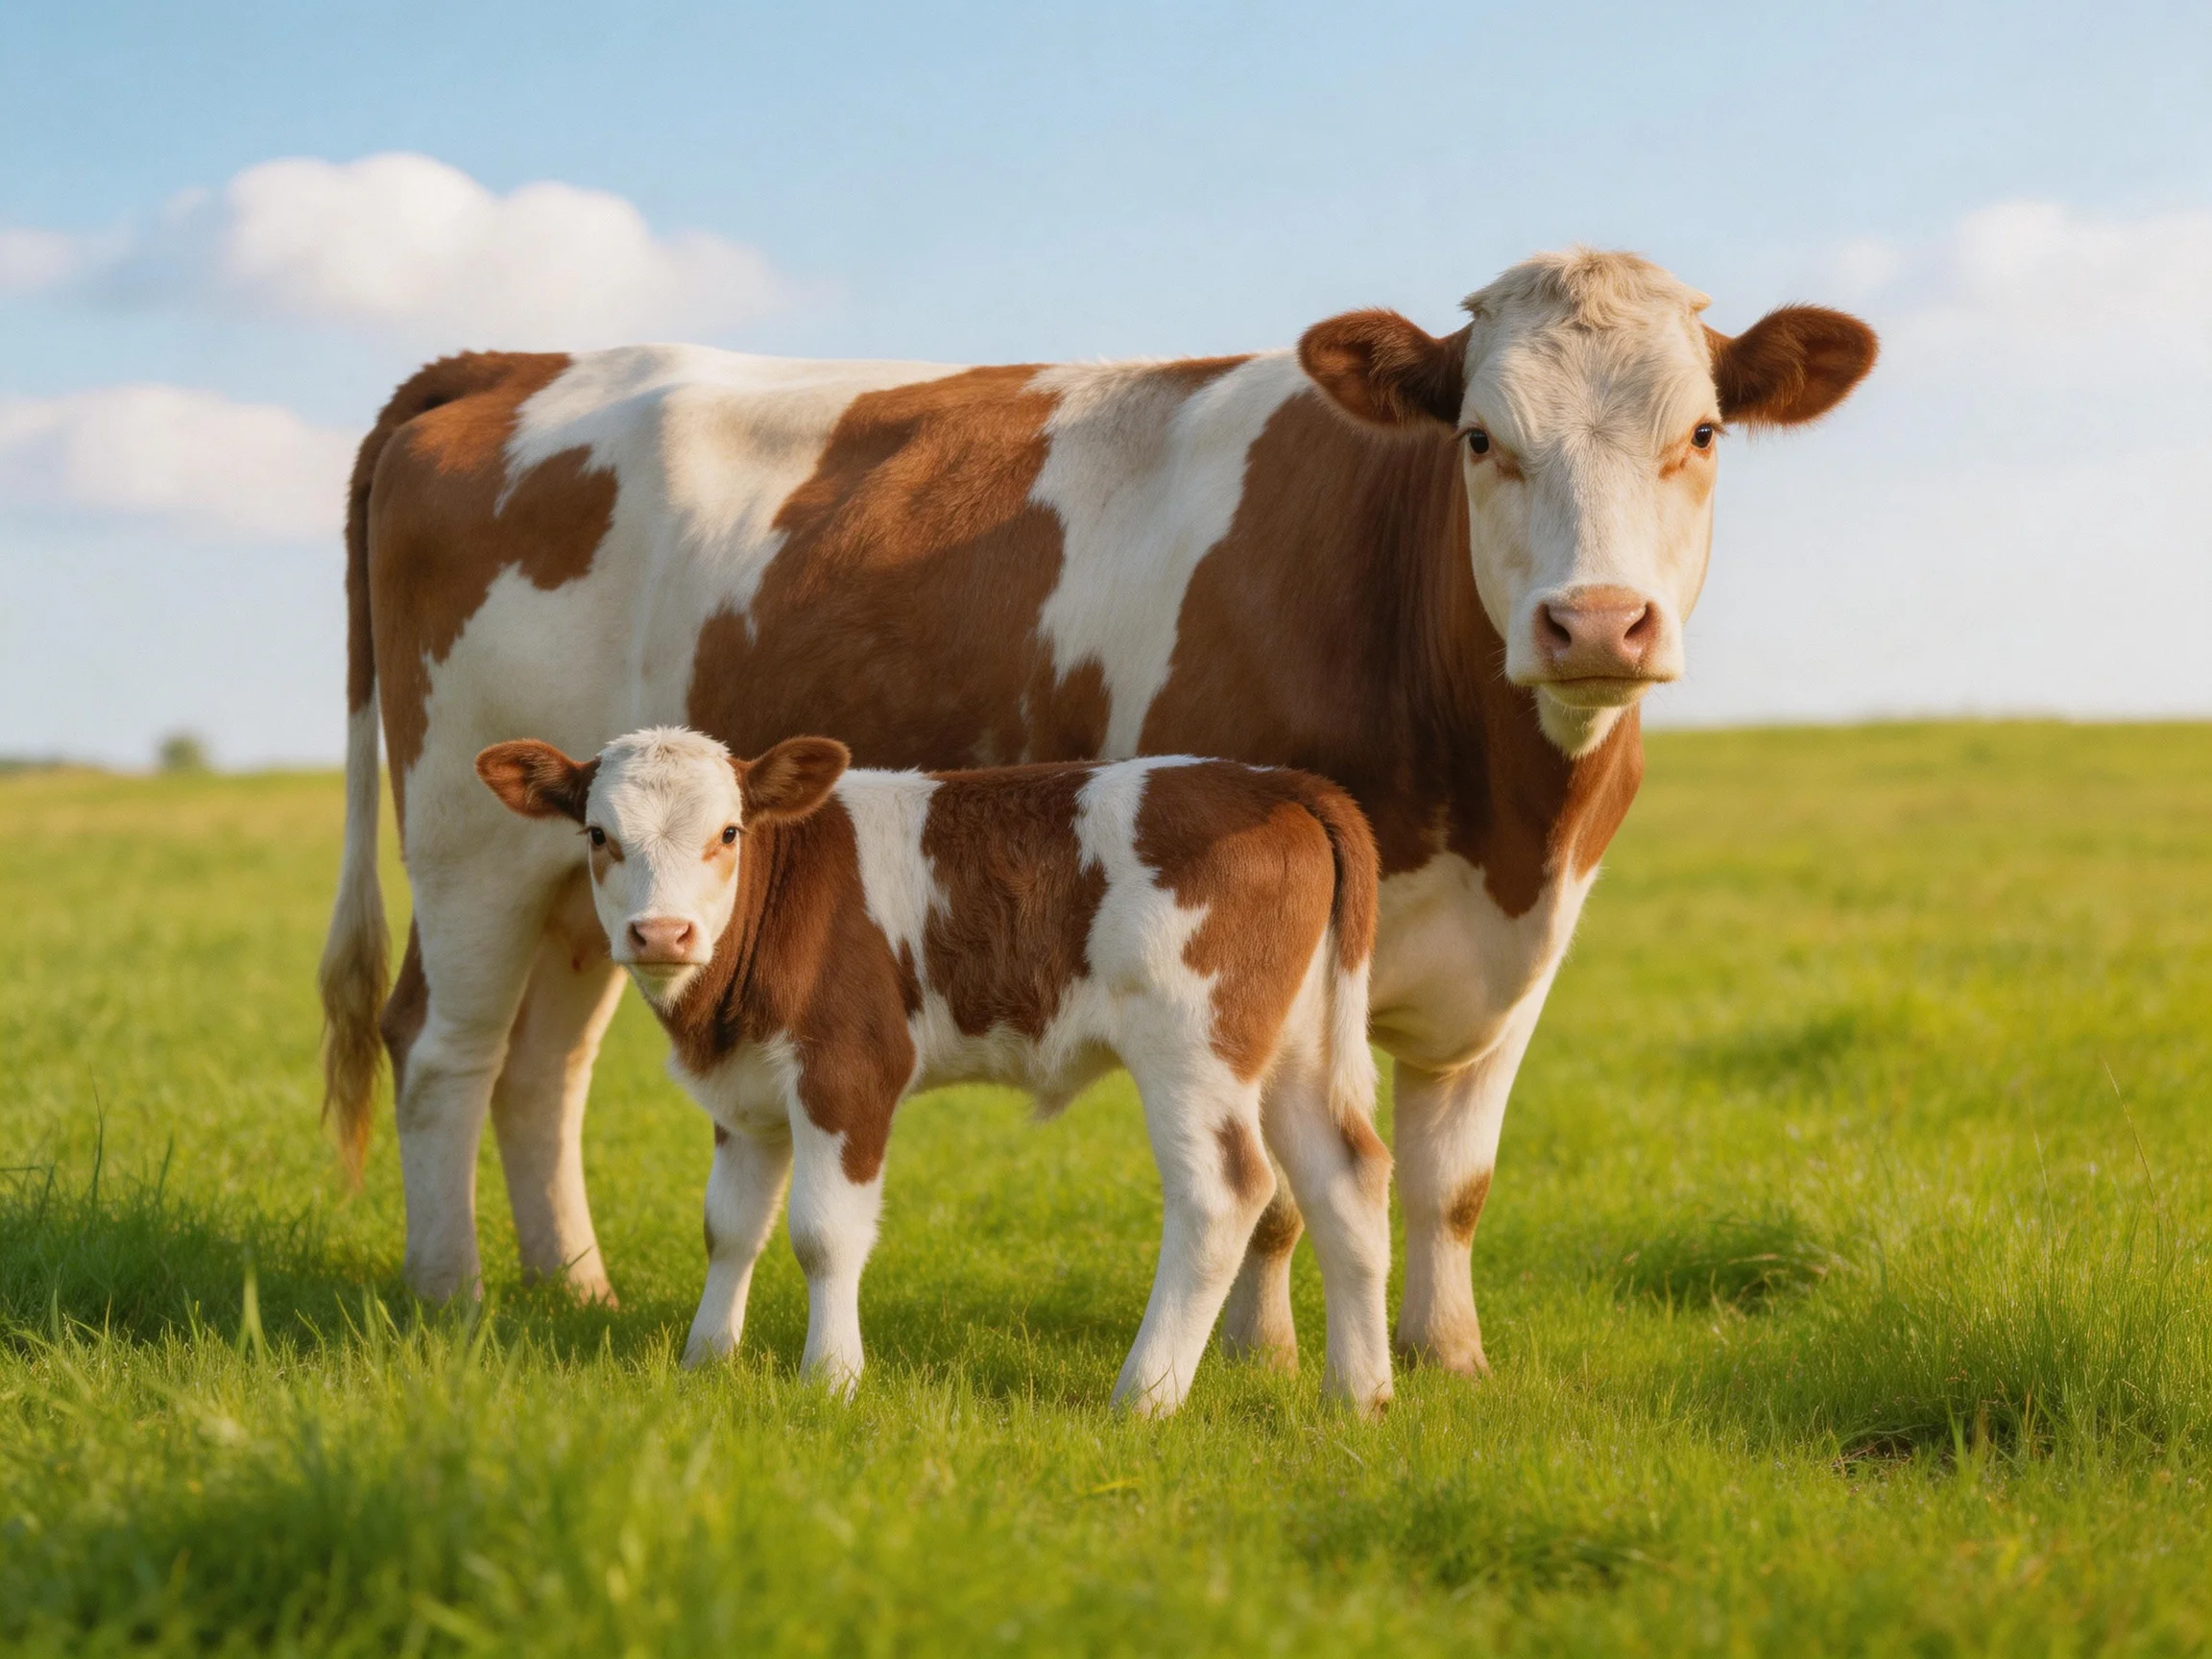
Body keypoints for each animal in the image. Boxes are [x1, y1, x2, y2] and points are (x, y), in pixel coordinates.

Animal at [474, 727, 1390, 1414]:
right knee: (1344, 1177)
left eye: (728, 833)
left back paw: (1145, 1396)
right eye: (599, 836)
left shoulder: (849, 1072)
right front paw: (707, 1361)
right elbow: (730, 1226)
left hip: (1192, 1046)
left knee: (1225, 1192)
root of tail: (1279, 783)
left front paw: (831, 1379)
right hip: (1296, 1048)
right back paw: (1359, 1396)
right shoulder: (743, 1099)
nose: (662, 933)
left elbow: (824, 1234)